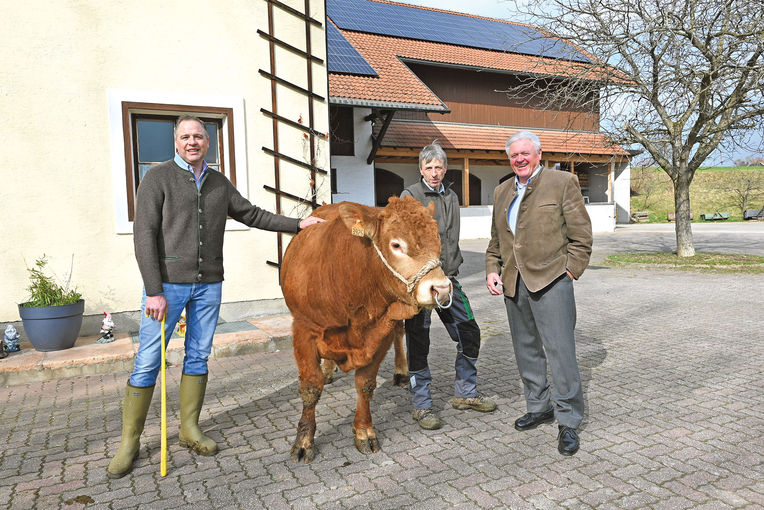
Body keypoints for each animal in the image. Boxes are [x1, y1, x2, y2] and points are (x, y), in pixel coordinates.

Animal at [280, 197, 450, 460]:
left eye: (437, 240)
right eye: (396, 245)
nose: (441, 289)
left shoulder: (380, 332)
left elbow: (365, 384)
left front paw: (364, 432)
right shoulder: (303, 330)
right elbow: (310, 387)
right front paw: (304, 441)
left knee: (400, 335)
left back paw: (401, 371)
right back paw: (328, 370)